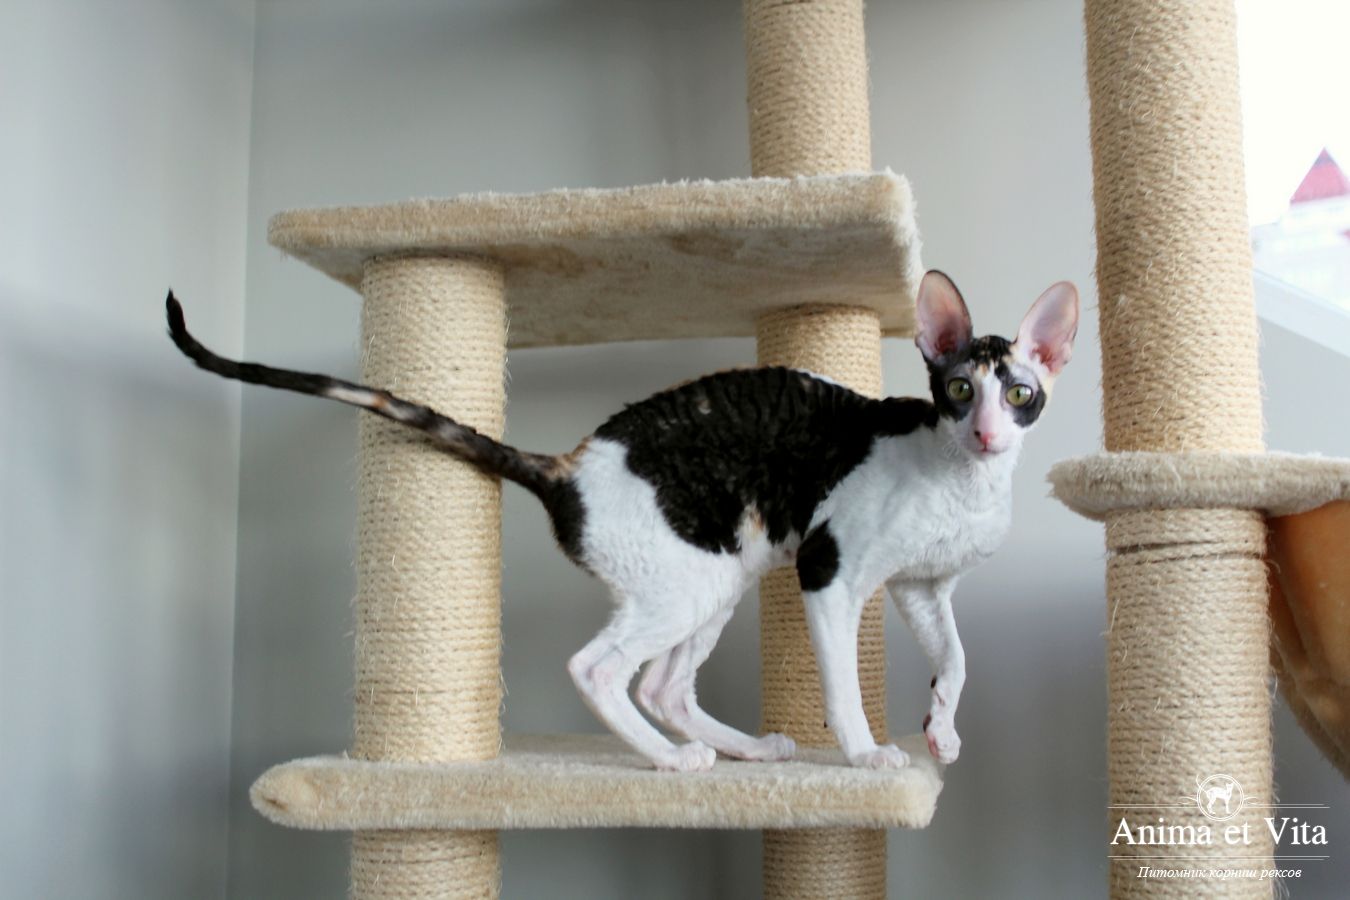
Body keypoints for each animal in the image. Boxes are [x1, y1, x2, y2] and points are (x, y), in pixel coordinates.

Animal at [166, 270, 1077, 772]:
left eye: (1019, 393)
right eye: (957, 390)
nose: (987, 433)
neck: (961, 479)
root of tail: (567, 468)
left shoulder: (925, 585)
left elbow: (958, 659)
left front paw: (941, 731)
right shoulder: (830, 569)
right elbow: (844, 685)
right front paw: (866, 754)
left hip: (720, 572)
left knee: (662, 686)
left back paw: (742, 750)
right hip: (696, 578)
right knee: (601, 671)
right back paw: (674, 763)